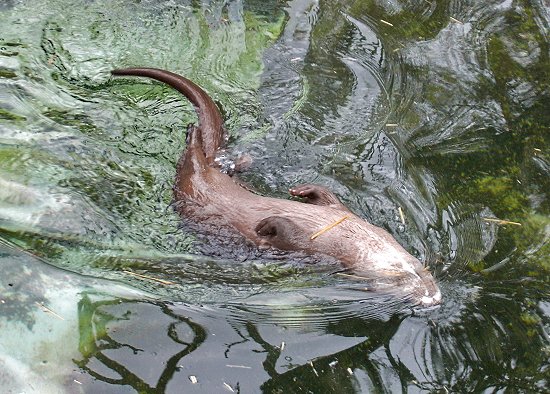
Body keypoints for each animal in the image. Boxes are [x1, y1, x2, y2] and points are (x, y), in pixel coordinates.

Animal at [110, 68, 442, 308]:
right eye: (412, 273)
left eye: (423, 277)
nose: (434, 297)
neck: (348, 237)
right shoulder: (332, 218)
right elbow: (323, 200)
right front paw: (300, 193)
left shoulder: (308, 246)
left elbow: (283, 233)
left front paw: (267, 225)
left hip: (192, 182)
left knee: (191, 164)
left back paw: (193, 138)